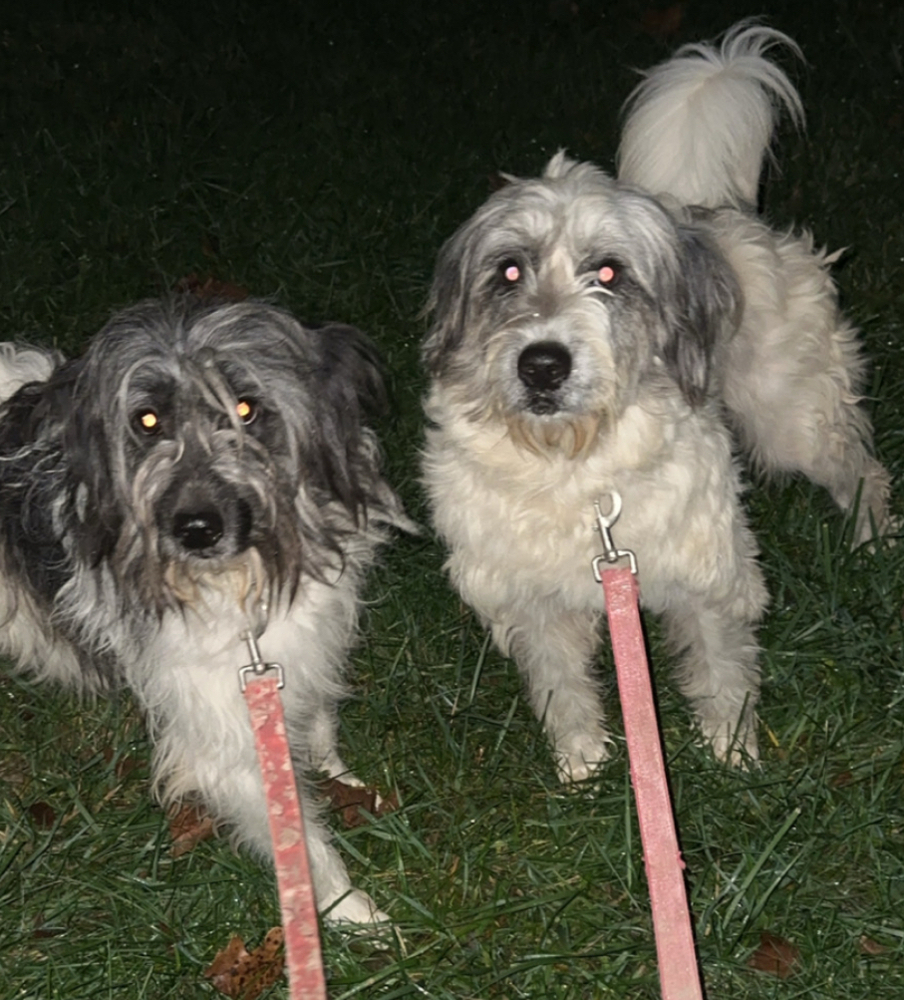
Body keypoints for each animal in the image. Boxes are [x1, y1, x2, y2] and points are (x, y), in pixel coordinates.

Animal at [0, 294, 406, 920]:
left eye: (246, 408)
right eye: (146, 420)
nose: (195, 529)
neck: (243, 577)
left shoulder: (303, 649)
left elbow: (317, 723)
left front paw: (342, 780)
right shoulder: (224, 732)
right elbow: (302, 841)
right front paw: (351, 912)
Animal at [420, 19, 892, 776]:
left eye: (610, 273)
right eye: (509, 271)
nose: (542, 365)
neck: (575, 469)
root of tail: (711, 210)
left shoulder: (709, 577)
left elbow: (722, 672)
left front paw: (733, 757)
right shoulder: (534, 604)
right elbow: (561, 689)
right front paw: (583, 768)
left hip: (795, 422)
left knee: (863, 471)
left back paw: (873, 542)